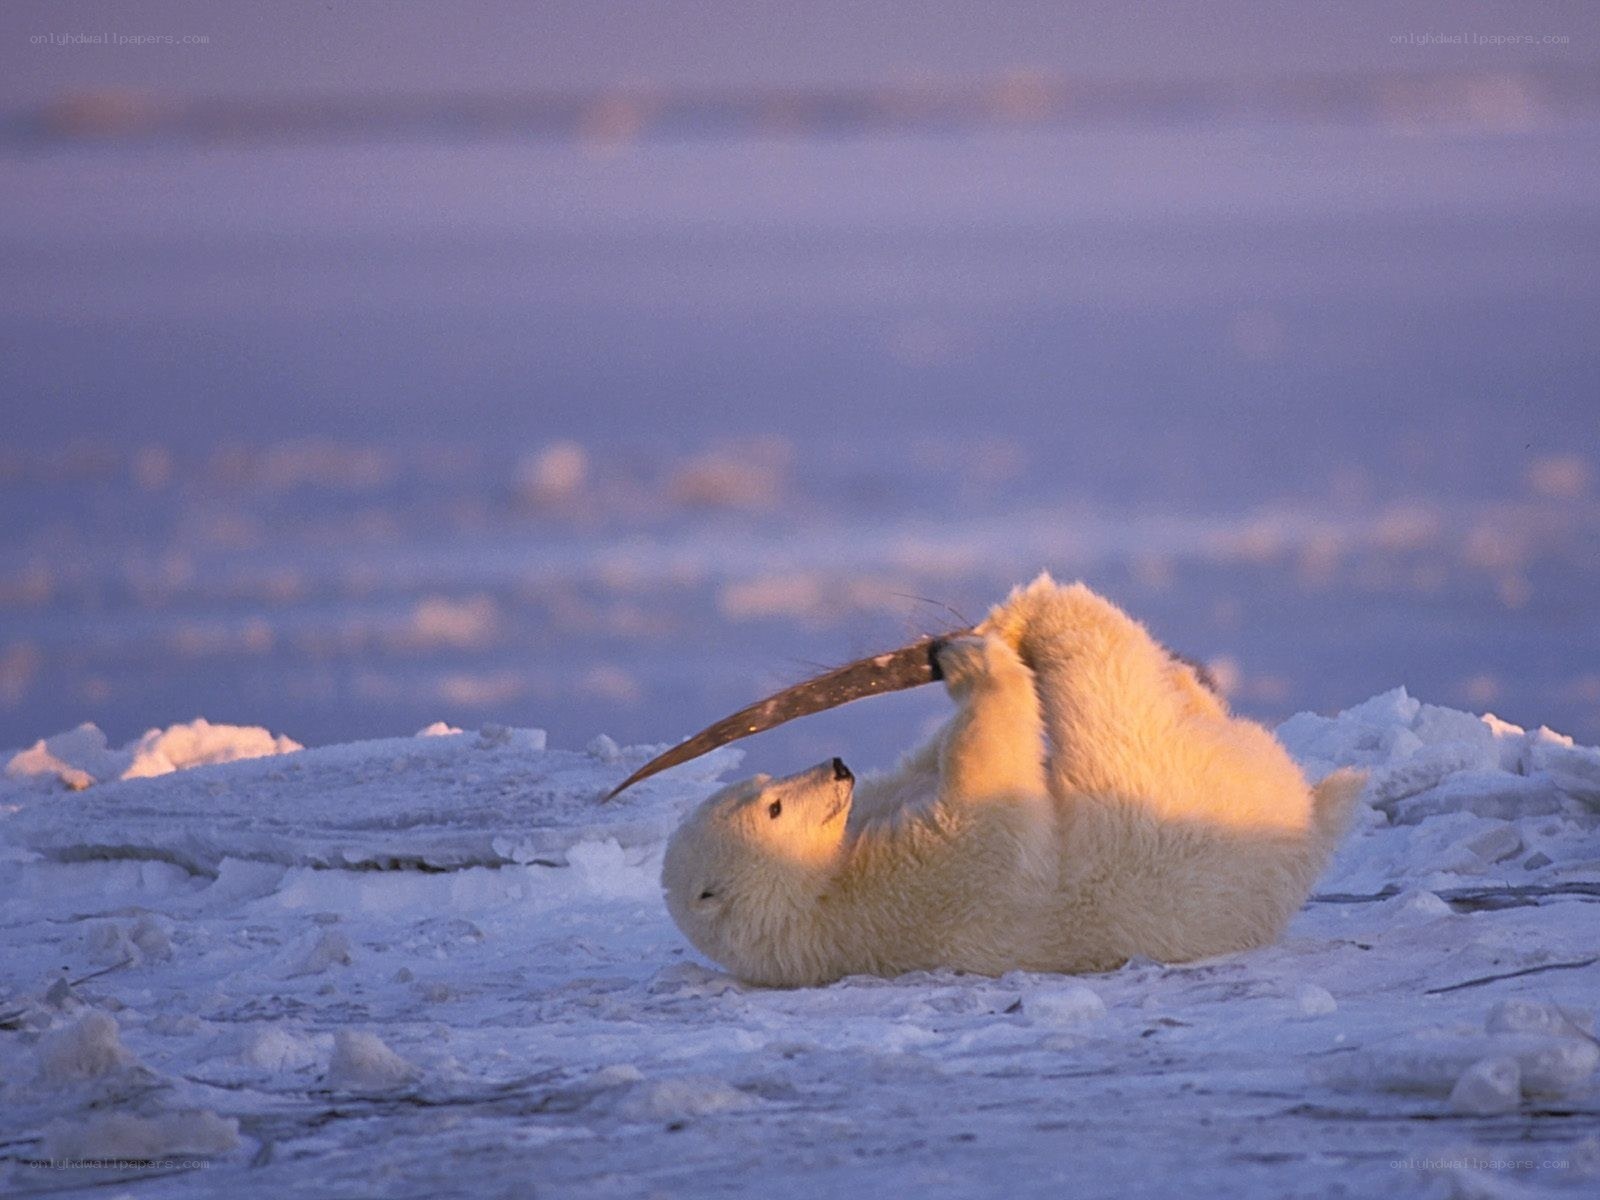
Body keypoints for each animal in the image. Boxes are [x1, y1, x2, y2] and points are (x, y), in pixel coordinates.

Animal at [661, 574, 1365, 987]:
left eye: (764, 781)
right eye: (776, 808)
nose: (837, 767)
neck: (815, 900)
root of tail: (1306, 823)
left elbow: (927, 766)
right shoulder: (919, 888)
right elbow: (988, 793)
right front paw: (972, 659)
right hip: (1157, 787)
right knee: (1107, 677)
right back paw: (1040, 609)